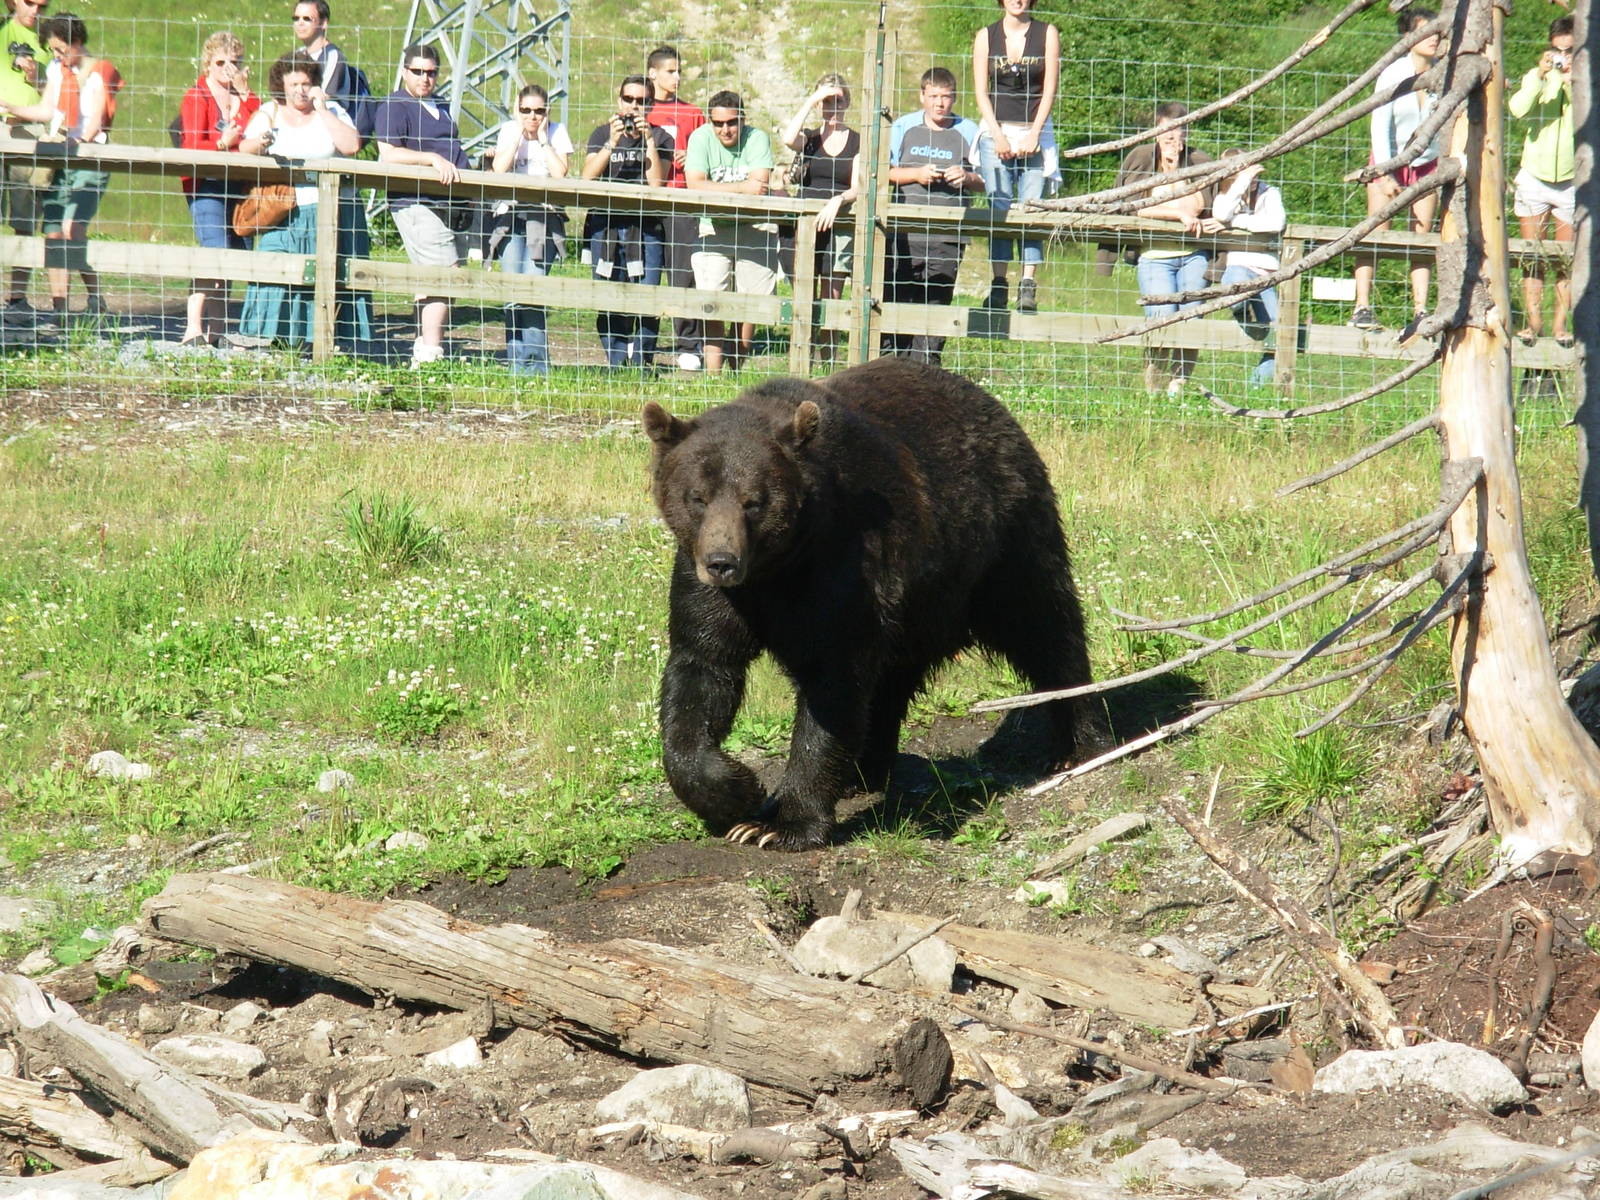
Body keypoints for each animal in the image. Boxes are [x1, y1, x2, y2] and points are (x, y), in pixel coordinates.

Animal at [641, 356, 1091, 851]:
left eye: (754, 501)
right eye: (697, 497)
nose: (722, 561)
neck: (777, 568)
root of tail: (996, 407)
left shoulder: (842, 566)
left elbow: (833, 683)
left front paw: (781, 824)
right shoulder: (713, 589)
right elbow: (701, 672)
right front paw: (735, 793)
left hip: (1001, 544)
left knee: (1042, 623)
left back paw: (1074, 741)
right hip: (920, 601)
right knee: (892, 677)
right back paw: (864, 771)